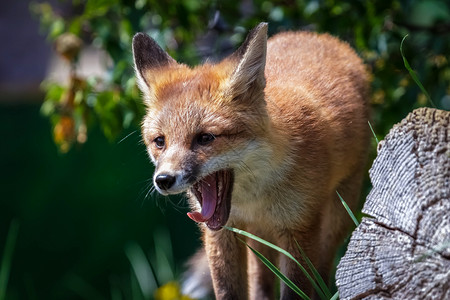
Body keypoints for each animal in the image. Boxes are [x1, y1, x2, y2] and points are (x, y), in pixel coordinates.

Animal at [132, 22, 370, 298]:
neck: (255, 199)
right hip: (260, 239)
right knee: (261, 284)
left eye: (205, 138)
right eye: (160, 141)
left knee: (322, 269)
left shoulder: (300, 227)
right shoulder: (221, 234)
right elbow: (227, 290)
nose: (164, 180)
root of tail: (316, 35)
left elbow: (296, 290)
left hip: (336, 217)